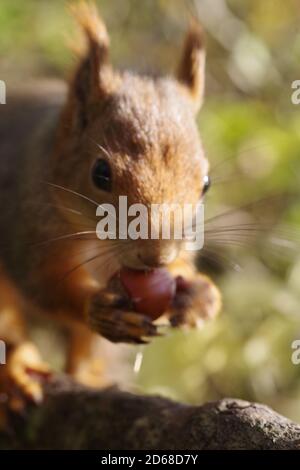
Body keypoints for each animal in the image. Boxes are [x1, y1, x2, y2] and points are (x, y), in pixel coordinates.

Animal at [0, 2, 220, 404]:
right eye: (100, 173)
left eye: (206, 184)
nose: (156, 257)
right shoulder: (24, 227)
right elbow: (44, 286)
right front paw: (99, 310)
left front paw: (198, 294)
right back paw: (17, 372)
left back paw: (88, 376)